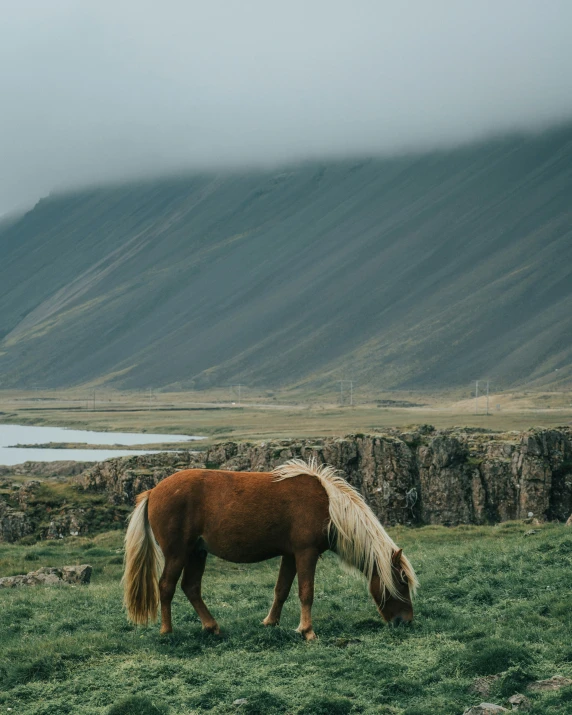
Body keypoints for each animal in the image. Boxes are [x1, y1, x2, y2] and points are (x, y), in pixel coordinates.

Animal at [123, 456, 418, 640]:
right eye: (402, 582)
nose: (407, 621)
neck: (329, 507)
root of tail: (153, 492)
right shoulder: (306, 553)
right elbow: (306, 592)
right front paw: (308, 631)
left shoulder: (290, 555)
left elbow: (282, 590)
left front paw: (270, 622)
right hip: (178, 554)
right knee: (166, 587)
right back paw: (167, 631)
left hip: (197, 552)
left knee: (191, 587)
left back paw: (212, 627)